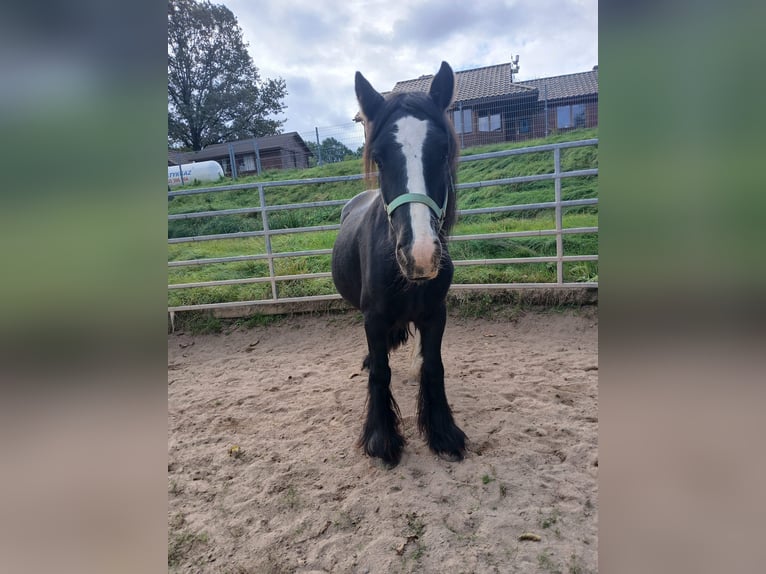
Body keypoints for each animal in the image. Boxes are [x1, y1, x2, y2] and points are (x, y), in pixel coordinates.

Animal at [332, 63, 468, 468]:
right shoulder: (373, 317)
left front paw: (442, 432)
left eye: (443, 151)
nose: (420, 254)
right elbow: (380, 372)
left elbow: (433, 366)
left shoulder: (435, 314)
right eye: (378, 157)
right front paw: (381, 439)